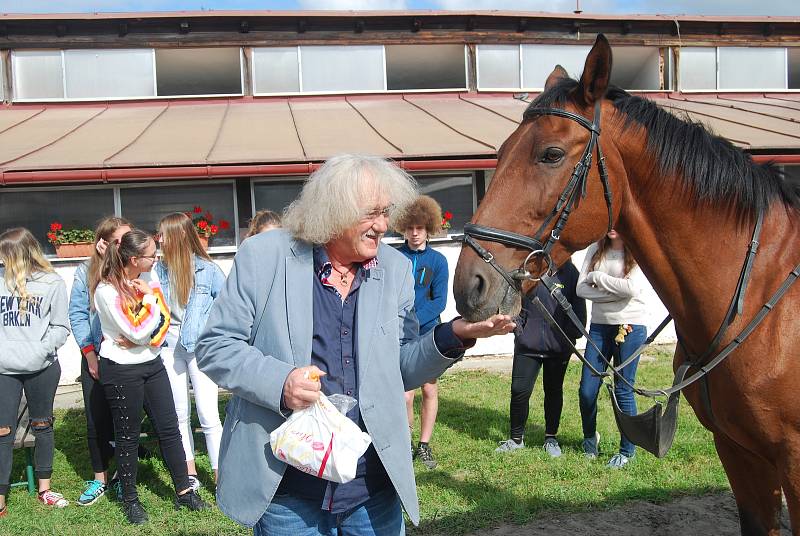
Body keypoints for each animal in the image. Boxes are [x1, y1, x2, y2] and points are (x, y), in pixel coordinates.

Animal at [454, 35, 800, 532]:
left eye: (551, 154)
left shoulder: (791, 462)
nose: (470, 285)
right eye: (498, 154)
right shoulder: (739, 453)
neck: (756, 297)